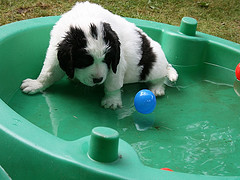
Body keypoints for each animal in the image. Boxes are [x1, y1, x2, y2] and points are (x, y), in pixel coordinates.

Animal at [21, 1, 178, 109]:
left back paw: (157, 89)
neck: (85, 17)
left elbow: (112, 84)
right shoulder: (56, 52)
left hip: (154, 68)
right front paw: (36, 84)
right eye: (84, 61)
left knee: (160, 77)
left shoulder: (117, 62)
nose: (98, 80)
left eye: (107, 59)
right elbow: (48, 72)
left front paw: (111, 101)